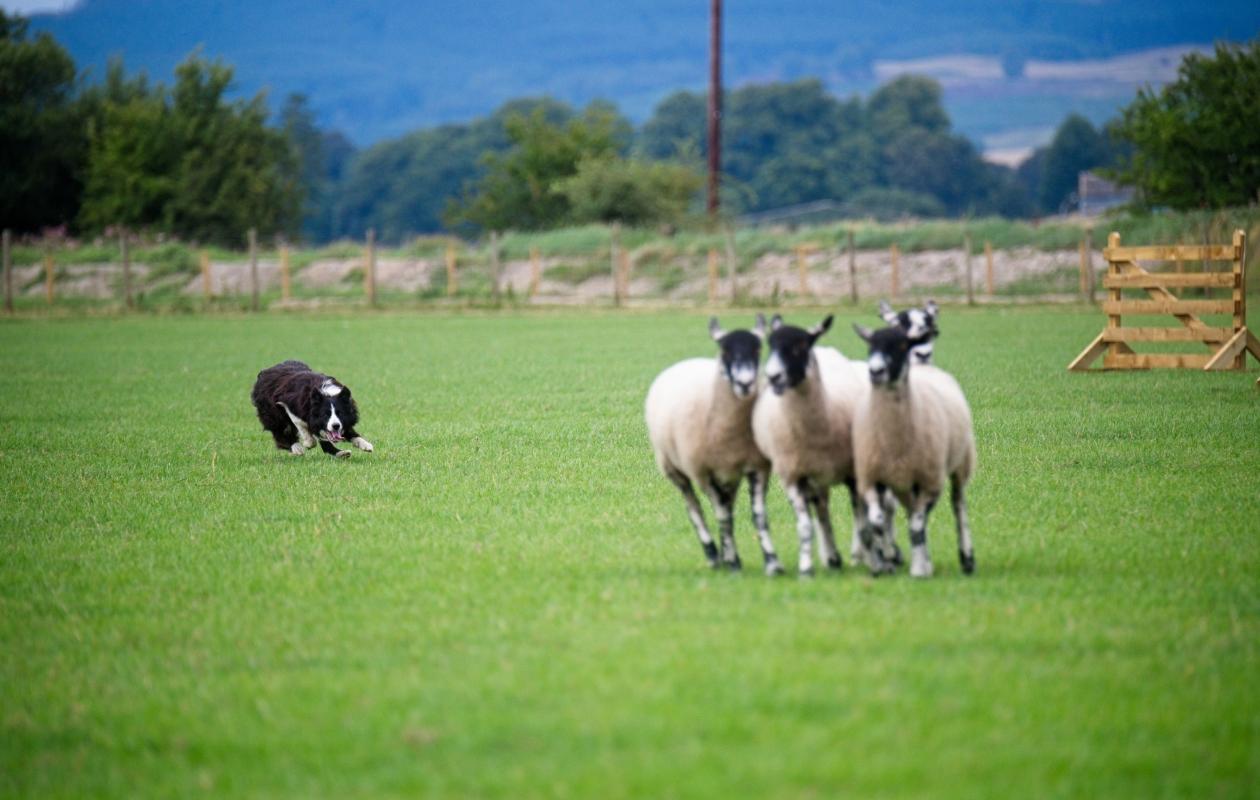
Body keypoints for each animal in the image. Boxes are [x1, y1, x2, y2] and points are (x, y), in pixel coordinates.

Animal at [645, 317, 785, 575]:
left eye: (758, 349)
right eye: (725, 350)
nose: (745, 383)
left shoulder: (757, 468)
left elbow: (758, 516)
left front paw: (772, 563)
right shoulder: (705, 472)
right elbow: (721, 516)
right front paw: (731, 563)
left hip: (729, 476)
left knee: (724, 507)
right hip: (677, 470)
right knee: (696, 509)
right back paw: (713, 554)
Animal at [751, 314, 900, 576]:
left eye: (800, 346)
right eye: (771, 345)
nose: (773, 376)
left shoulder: (855, 474)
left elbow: (866, 525)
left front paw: (877, 562)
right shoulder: (794, 475)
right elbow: (805, 525)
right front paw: (807, 567)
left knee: (877, 509)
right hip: (817, 478)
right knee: (822, 511)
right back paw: (833, 557)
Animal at [852, 323, 977, 578]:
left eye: (901, 345)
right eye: (870, 345)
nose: (876, 371)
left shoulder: (930, 481)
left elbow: (918, 525)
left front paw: (918, 569)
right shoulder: (871, 478)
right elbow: (879, 521)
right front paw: (888, 562)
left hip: (960, 464)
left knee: (958, 505)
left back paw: (967, 558)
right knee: (910, 513)